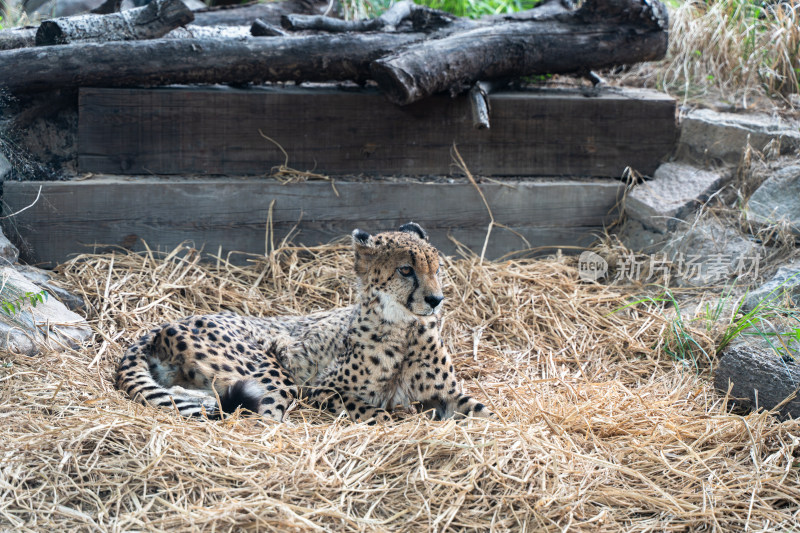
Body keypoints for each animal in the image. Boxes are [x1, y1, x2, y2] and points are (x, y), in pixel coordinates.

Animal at [115, 222, 490, 422]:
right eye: (406, 270)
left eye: (436, 268)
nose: (435, 299)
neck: (406, 329)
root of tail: (156, 329)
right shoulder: (323, 389)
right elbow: (377, 412)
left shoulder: (449, 395)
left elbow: (486, 412)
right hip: (274, 375)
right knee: (257, 418)